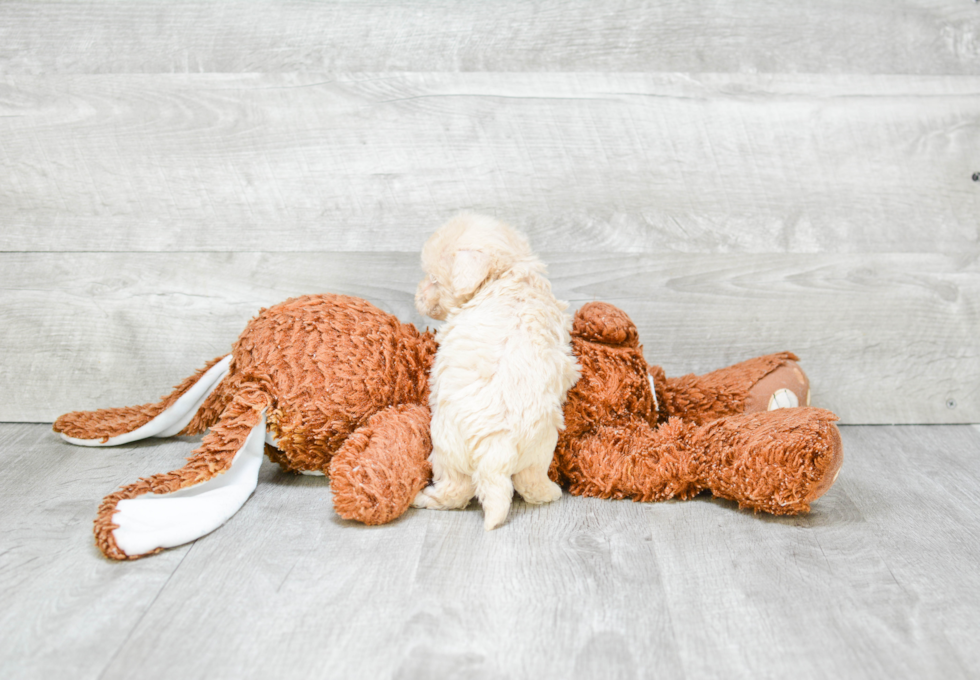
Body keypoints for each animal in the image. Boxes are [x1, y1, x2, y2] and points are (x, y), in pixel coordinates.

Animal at [410, 212, 580, 532]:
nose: (417, 295)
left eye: (434, 280)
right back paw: (550, 492)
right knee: (529, 481)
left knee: (455, 489)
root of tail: (495, 451)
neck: (507, 272)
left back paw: (425, 498)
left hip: (446, 449)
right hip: (540, 448)